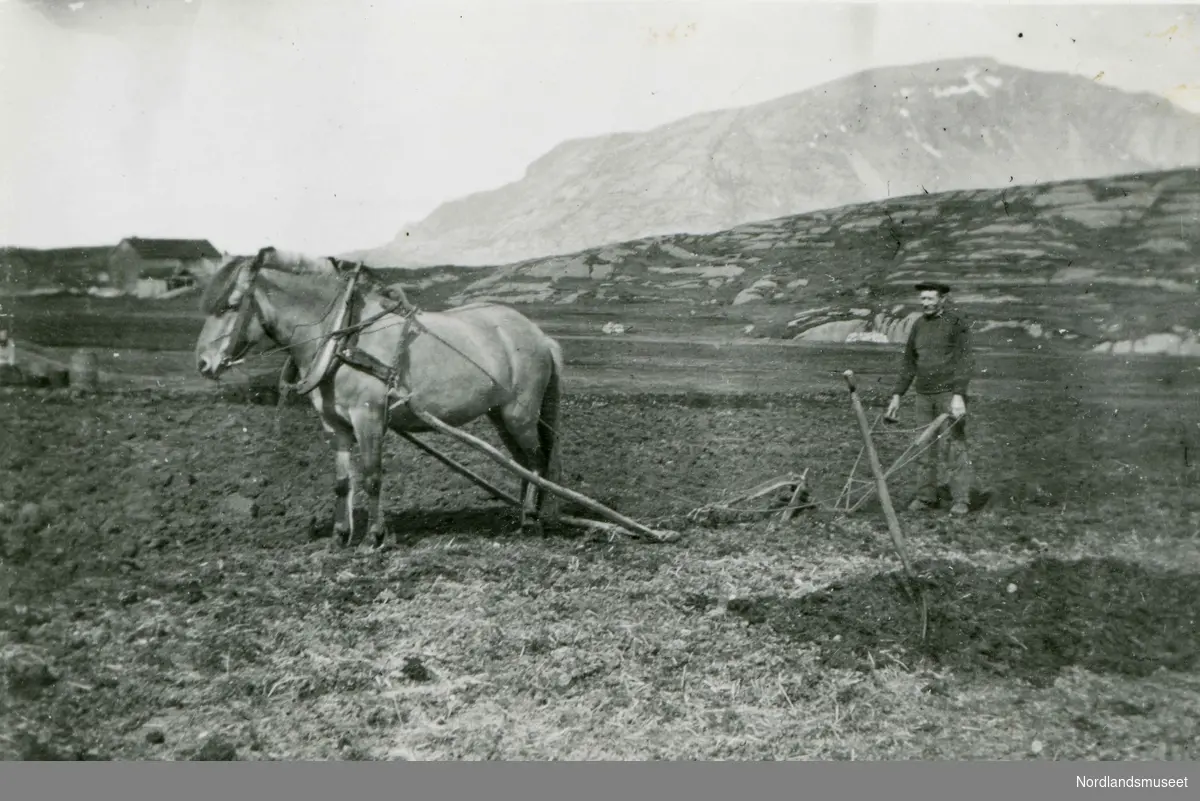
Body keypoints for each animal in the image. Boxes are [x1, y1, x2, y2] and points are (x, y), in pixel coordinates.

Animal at [195, 244, 566, 546]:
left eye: (231, 306)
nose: (203, 363)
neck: (341, 336)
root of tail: (539, 336)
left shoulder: (368, 417)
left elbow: (373, 476)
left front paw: (374, 536)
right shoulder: (334, 424)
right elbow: (343, 481)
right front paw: (340, 535)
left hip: (520, 414)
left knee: (535, 461)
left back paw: (531, 522)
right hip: (499, 414)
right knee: (521, 463)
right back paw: (525, 515)